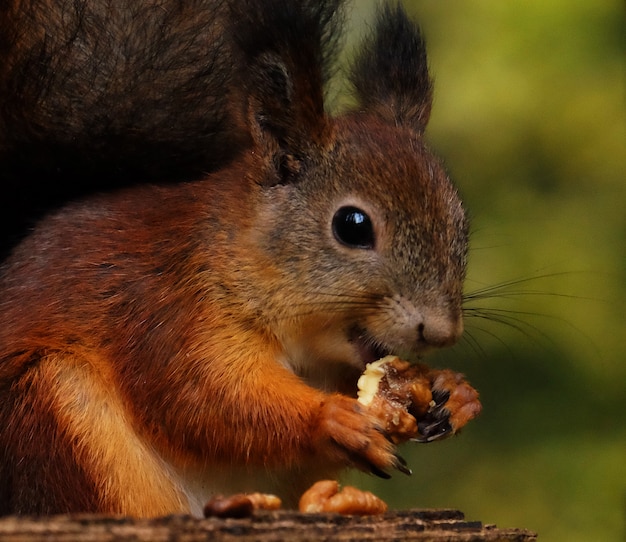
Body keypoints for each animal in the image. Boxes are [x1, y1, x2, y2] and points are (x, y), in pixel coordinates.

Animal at [0, 0, 480, 520]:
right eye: (352, 225)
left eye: (460, 222)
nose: (440, 332)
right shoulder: (167, 310)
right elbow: (204, 397)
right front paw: (329, 418)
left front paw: (455, 391)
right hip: (54, 415)